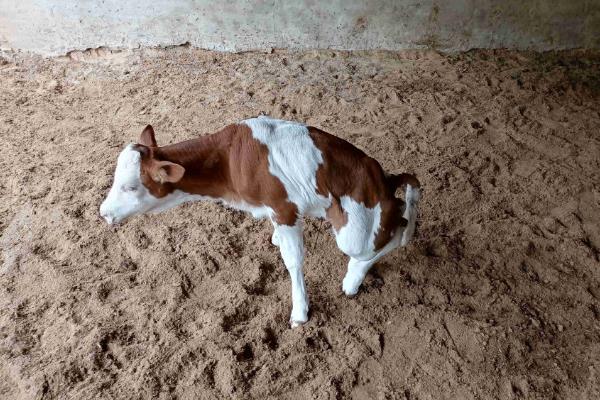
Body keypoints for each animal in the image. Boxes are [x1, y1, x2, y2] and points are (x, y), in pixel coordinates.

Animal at [99, 115, 422, 324]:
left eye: (130, 186)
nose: (103, 212)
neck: (229, 161)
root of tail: (384, 179)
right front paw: (275, 238)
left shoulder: (284, 209)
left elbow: (293, 261)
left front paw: (300, 312)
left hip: (353, 232)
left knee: (393, 234)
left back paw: (352, 280)